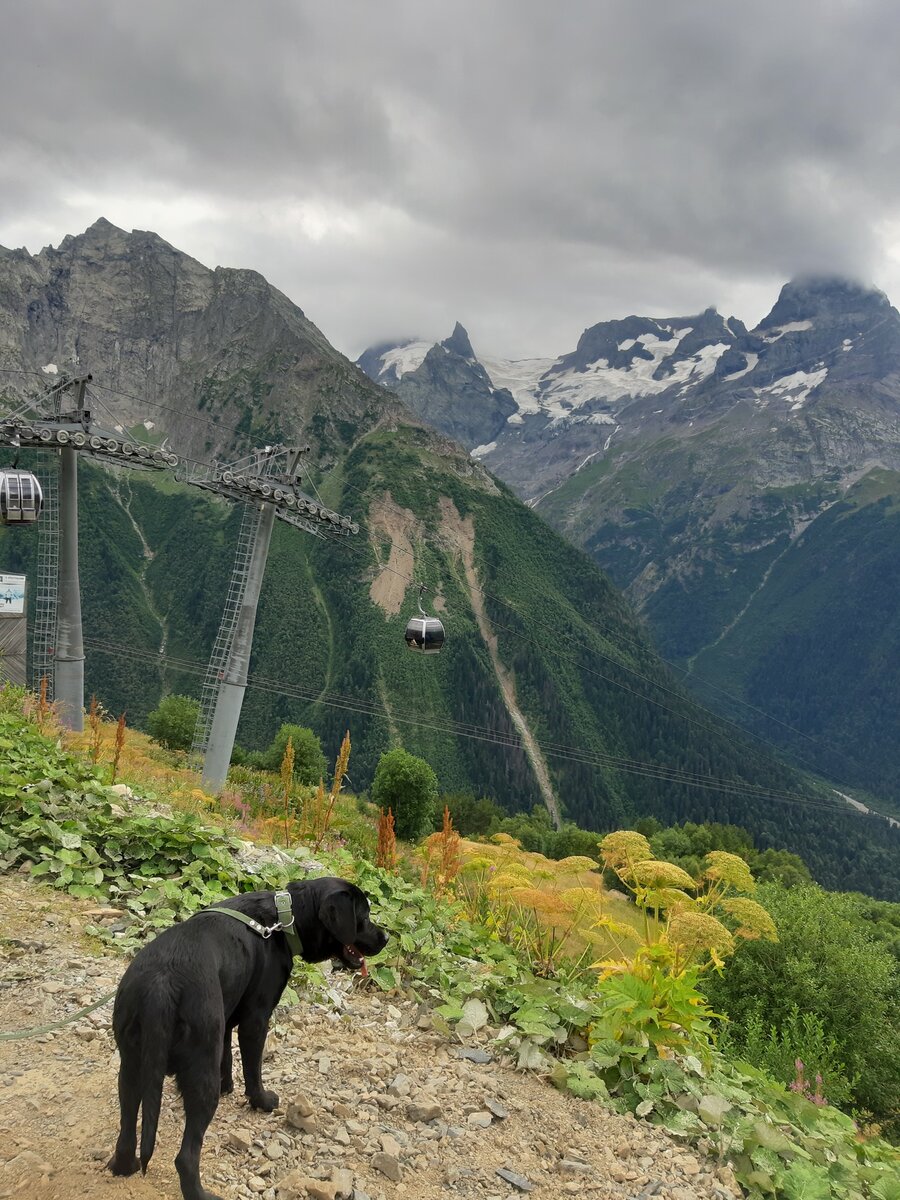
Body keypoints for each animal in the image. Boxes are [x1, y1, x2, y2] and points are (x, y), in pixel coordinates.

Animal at [107, 873, 388, 1200]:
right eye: (364, 916)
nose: (386, 938)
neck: (282, 918)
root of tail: (161, 986)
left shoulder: (227, 1017)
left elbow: (227, 1055)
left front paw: (228, 1085)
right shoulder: (256, 1018)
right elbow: (253, 1068)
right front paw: (261, 1100)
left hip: (131, 1068)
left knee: (127, 1131)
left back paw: (123, 1166)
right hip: (198, 1074)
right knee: (186, 1157)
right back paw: (200, 1193)